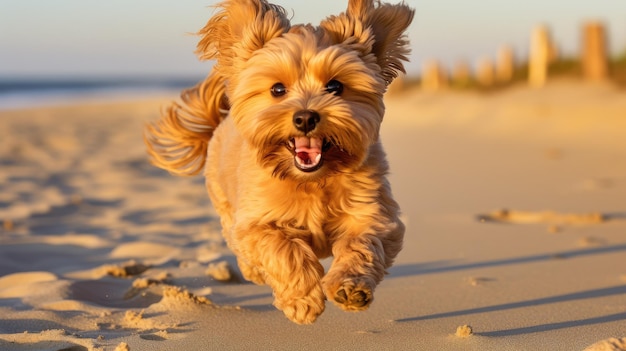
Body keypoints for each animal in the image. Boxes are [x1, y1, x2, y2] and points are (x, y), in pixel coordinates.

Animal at [144, 0, 412, 324]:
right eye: (278, 89)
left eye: (335, 86)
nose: (306, 117)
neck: (311, 181)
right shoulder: (256, 221)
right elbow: (282, 248)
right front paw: (303, 301)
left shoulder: (373, 214)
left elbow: (362, 244)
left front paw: (350, 287)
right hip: (225, 205)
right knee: (239, 242)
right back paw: (254, 272)